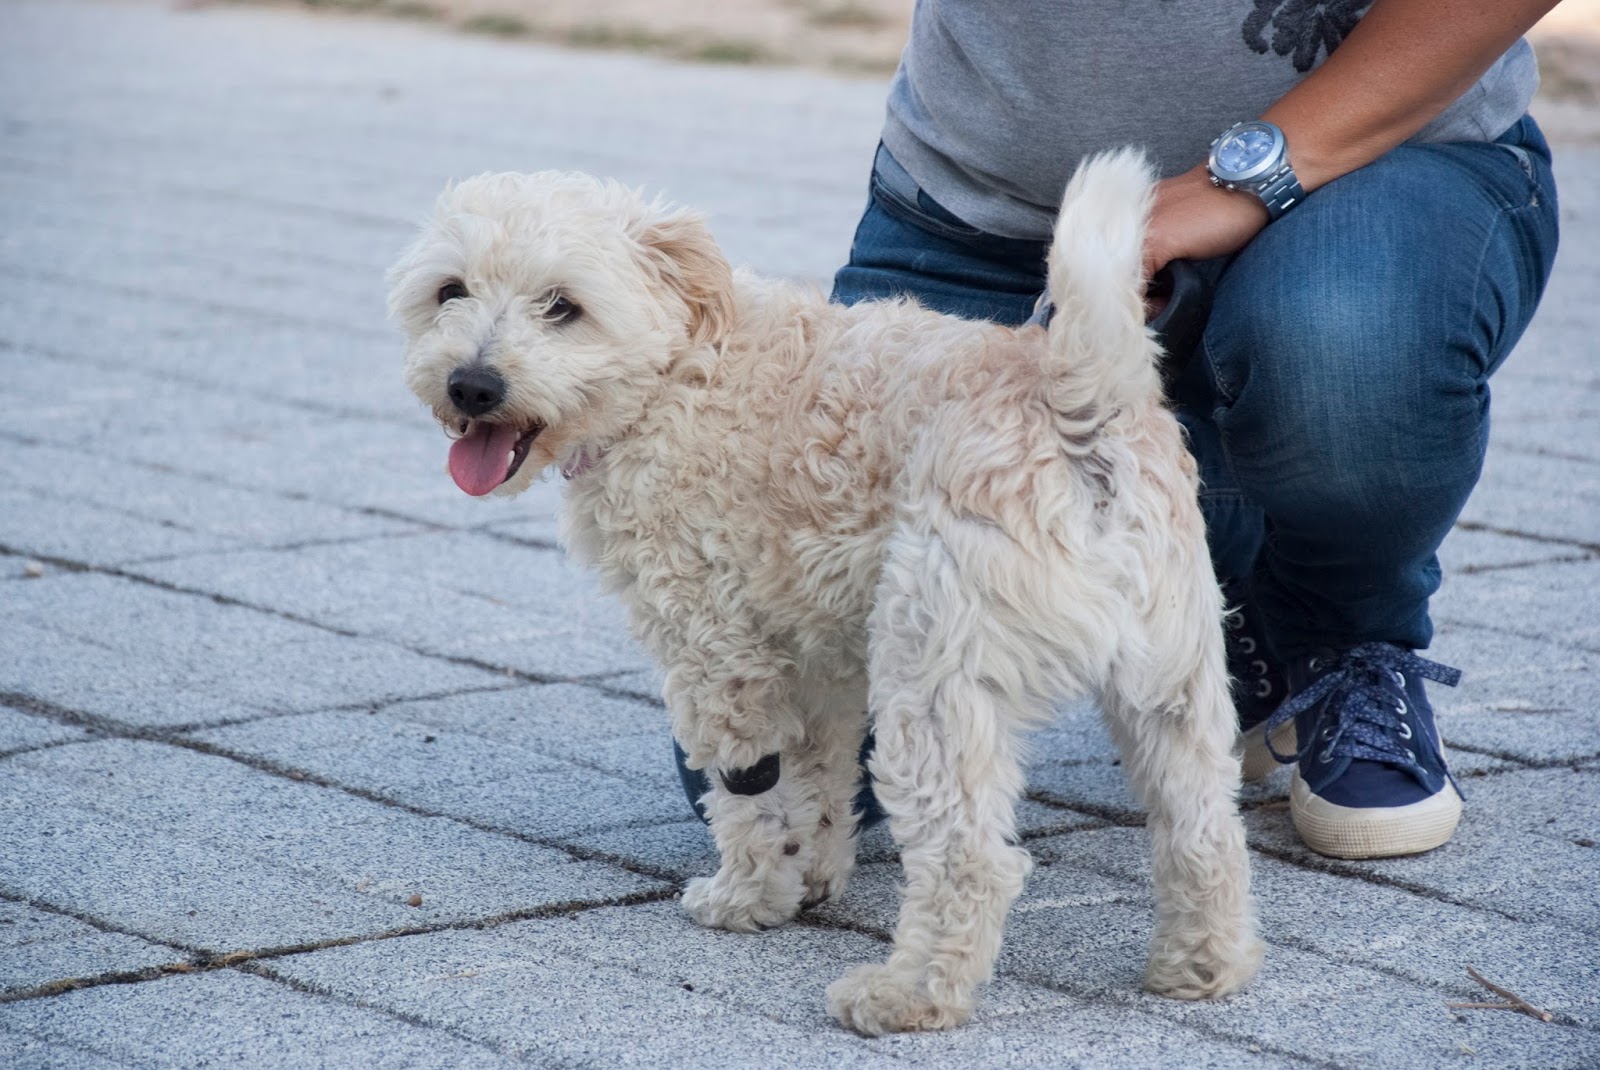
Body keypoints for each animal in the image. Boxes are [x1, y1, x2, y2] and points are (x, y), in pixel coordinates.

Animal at [387, 150, 1262, 1034]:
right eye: (450, 291)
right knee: (1204, 830)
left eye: (563, 305)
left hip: (933, 687)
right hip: (1172, 687)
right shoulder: (821, 665)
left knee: (970, 857)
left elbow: (749, 795)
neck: (683, 372)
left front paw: (747, 898)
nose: (471, 386)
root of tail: (1076, 399)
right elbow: (816, 786)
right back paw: (1201, 967)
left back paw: (907, 996)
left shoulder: (719, 656)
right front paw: (808, 876)